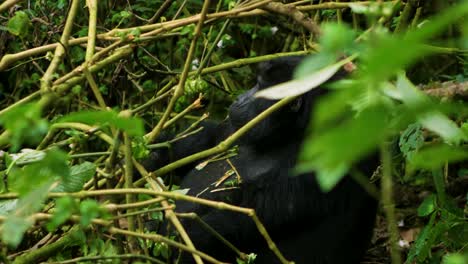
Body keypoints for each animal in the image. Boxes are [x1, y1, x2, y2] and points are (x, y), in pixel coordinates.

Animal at [146, 55, 380, 262]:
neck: (295, 131)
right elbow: (208, 139)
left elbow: (238, 219)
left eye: (260, 86)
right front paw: (153, 154)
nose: (240, 98)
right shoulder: (235, 126)